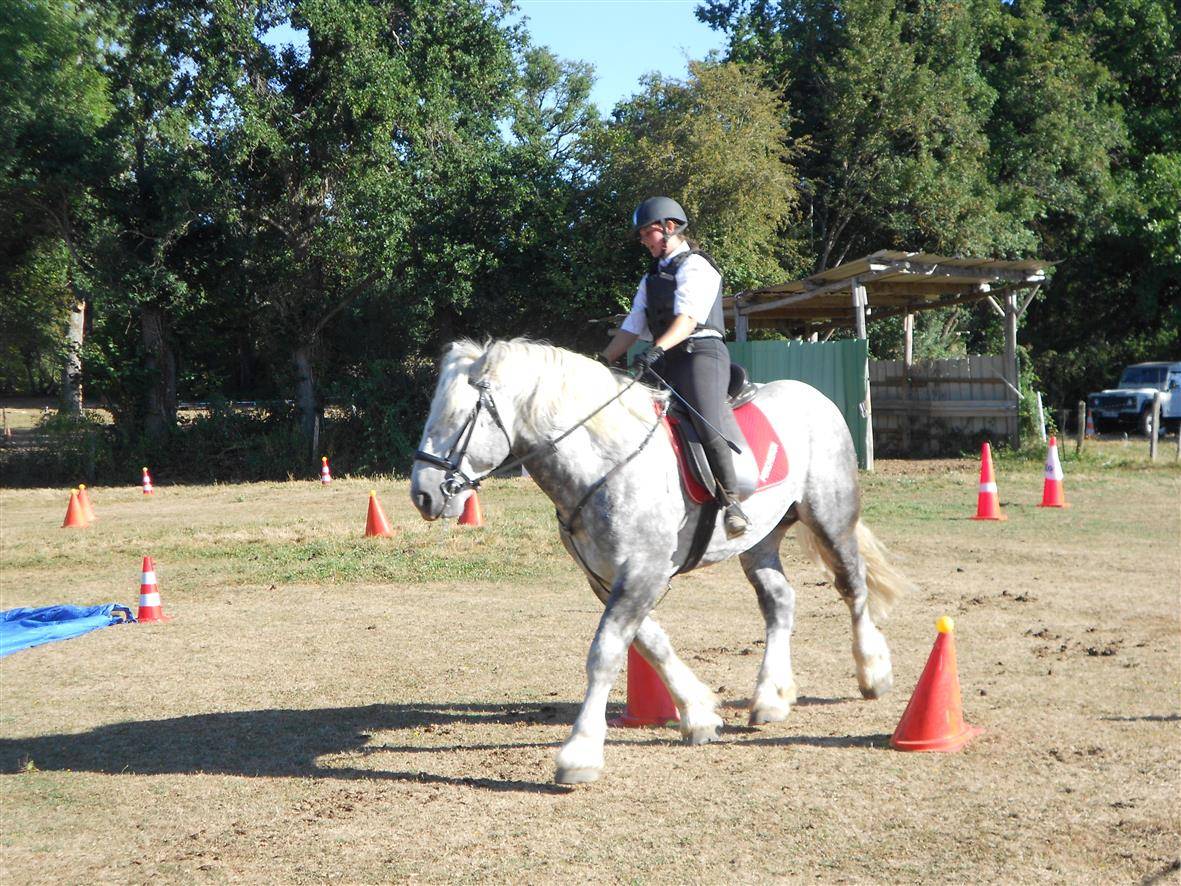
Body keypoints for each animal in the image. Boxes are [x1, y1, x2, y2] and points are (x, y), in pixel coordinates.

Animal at [411, 338, 914, 785]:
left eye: (460, 415)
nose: (423, 494)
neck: (605, 465)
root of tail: (814, 396)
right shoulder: (608, 577)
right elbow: (652, 644)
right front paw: (698, 714)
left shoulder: (642, 573)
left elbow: (606, 653)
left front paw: (581, 754)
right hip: (761, 540)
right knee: (780, 602)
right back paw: (771, 696)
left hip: (830, 518)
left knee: (853, 585)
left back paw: (873, 671)